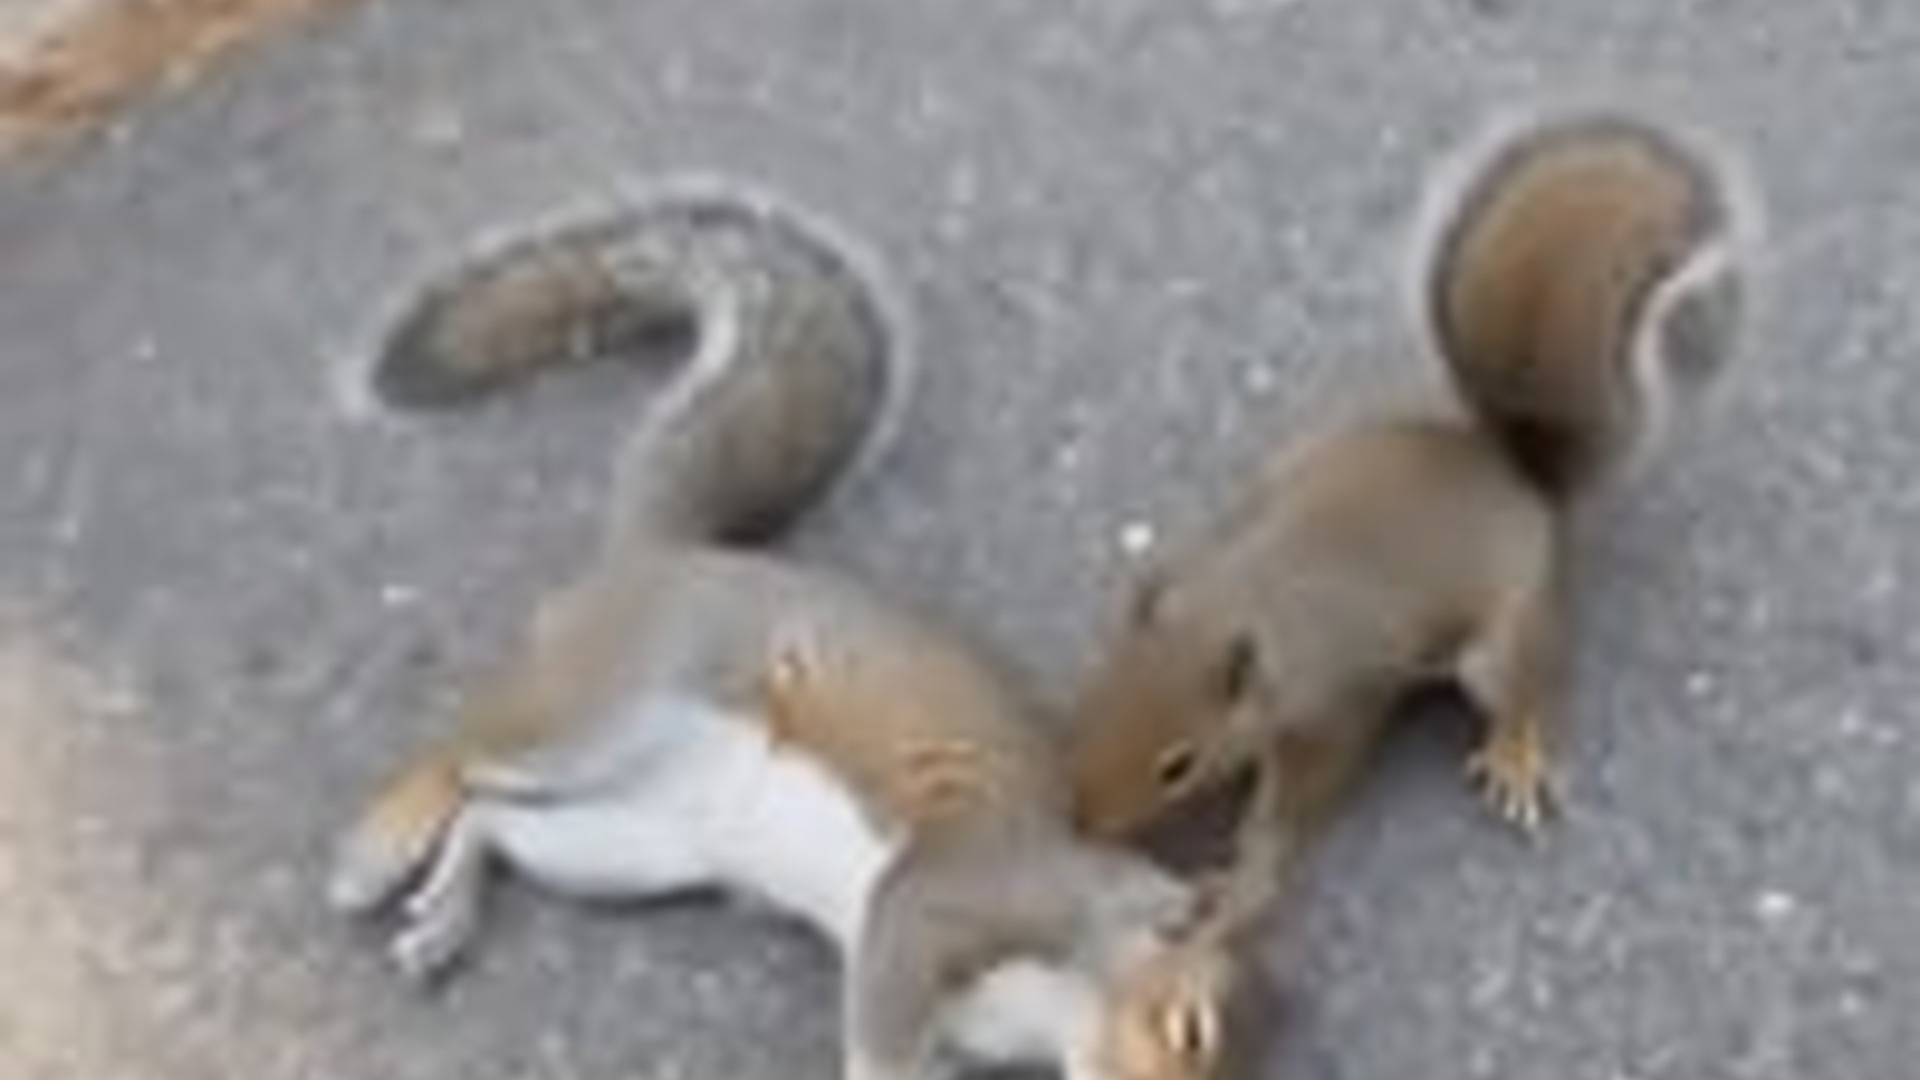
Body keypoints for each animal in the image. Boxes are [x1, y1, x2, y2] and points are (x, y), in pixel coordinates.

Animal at [325, 189, 1241, 1080]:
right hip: (612, 706)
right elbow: (885, 1016)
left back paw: (446, 912)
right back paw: (379, 847)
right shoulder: (949, 900)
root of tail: (667, 556)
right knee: (462, 754)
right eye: (1192, 1028)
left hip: (634, 849)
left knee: (493, 819)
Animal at [1066, 112, 1755, 905]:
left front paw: (1248, 861)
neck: (1238, 602)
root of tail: (1512, 473)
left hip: (1505, 638)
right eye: (1092, 700)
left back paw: (1516, 752)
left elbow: (1302, 798)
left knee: (1531, 687)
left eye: (1177, 766)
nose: (1080, 819)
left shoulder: (1332, 708)